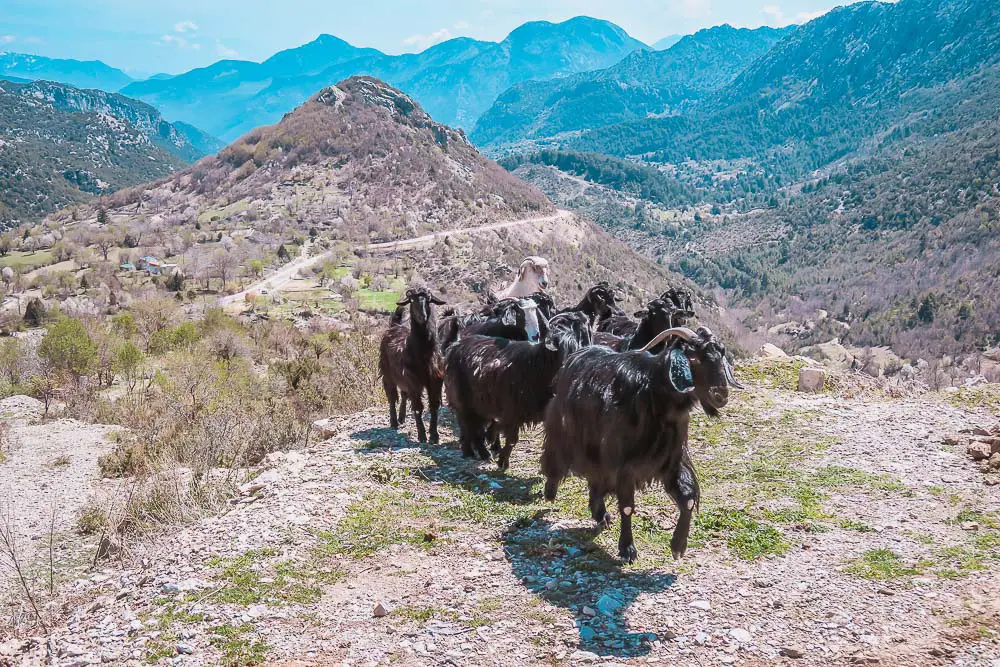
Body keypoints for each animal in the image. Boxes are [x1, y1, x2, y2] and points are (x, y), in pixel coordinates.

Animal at [378, 288, 446, 444]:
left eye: (428, 300)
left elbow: (434, 406)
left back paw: (402, 417)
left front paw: (434, 435)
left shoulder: (435, 379)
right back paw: (394, 422)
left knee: (403, 394)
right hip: (387, 372)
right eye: (412, 301)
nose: (422, 316)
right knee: (392, 396)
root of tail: (395, 326)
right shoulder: (414, 380)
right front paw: (422, 435)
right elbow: (418, 408)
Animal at [446, 312, 592, 470]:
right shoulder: (512, 409)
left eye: (584, 335)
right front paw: (502, 461)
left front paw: (493, 441)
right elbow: (511, 437)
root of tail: (455, 345)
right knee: (469, 427)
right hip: (464, 401)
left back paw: (475, 451)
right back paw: (477, 453)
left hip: (479, 403)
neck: (537, 365)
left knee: (472, 427)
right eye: (562, 347)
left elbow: (500, 427)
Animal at [540, 326, 744, 560]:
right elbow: (627, 507)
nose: (720, 395)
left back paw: (600, 514)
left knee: (596, 478)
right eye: (694, 358)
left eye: (721, 354)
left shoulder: (670, 460)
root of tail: (577, 355)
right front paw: (627, 549)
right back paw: (550, 493)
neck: (655, 395)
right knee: (556, 458)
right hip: (564, 429)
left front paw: (678, 546)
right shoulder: (623, 465)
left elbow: (688, 498)